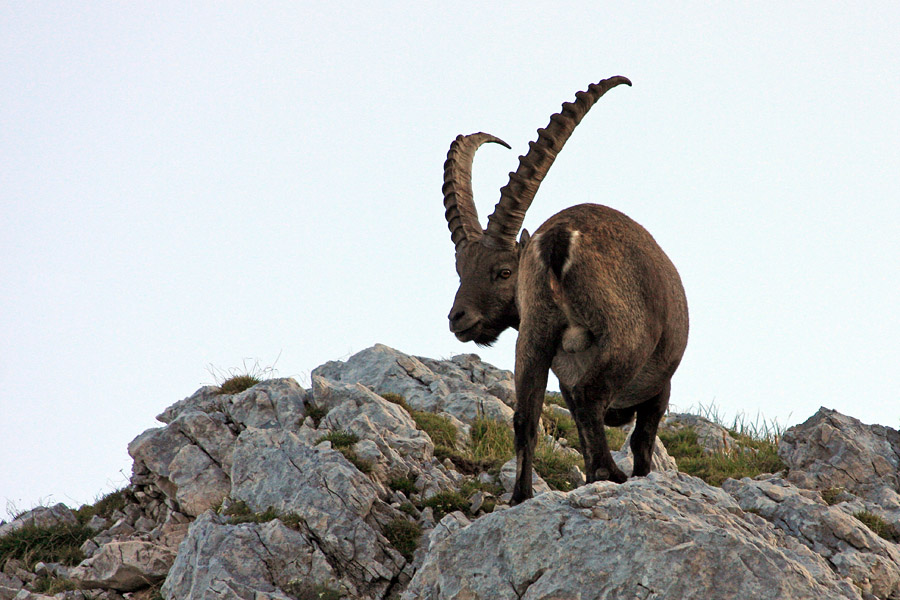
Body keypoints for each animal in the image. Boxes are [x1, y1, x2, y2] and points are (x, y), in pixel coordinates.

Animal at [443, 77, 689, 504]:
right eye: (462, 271)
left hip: (533, 337)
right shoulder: (660, 387)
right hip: (626, 336)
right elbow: (642, 442)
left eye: (503, 272)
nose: (458, 318)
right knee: (593, 400)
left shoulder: (561, 376)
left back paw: (521, 497)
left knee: (525, 417)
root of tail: (556, 241)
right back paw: (611, 476)